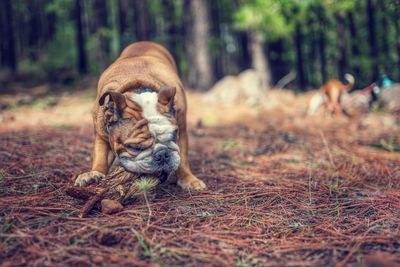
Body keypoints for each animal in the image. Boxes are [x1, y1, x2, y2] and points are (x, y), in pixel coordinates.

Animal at [74, 42, 206, 192]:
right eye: (135, 147)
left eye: (173, 137)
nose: (162, 154)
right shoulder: (102, 136)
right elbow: (101, 157)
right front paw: (94, 173)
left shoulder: (182, 131)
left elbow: (182, 157)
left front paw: (189, 179)